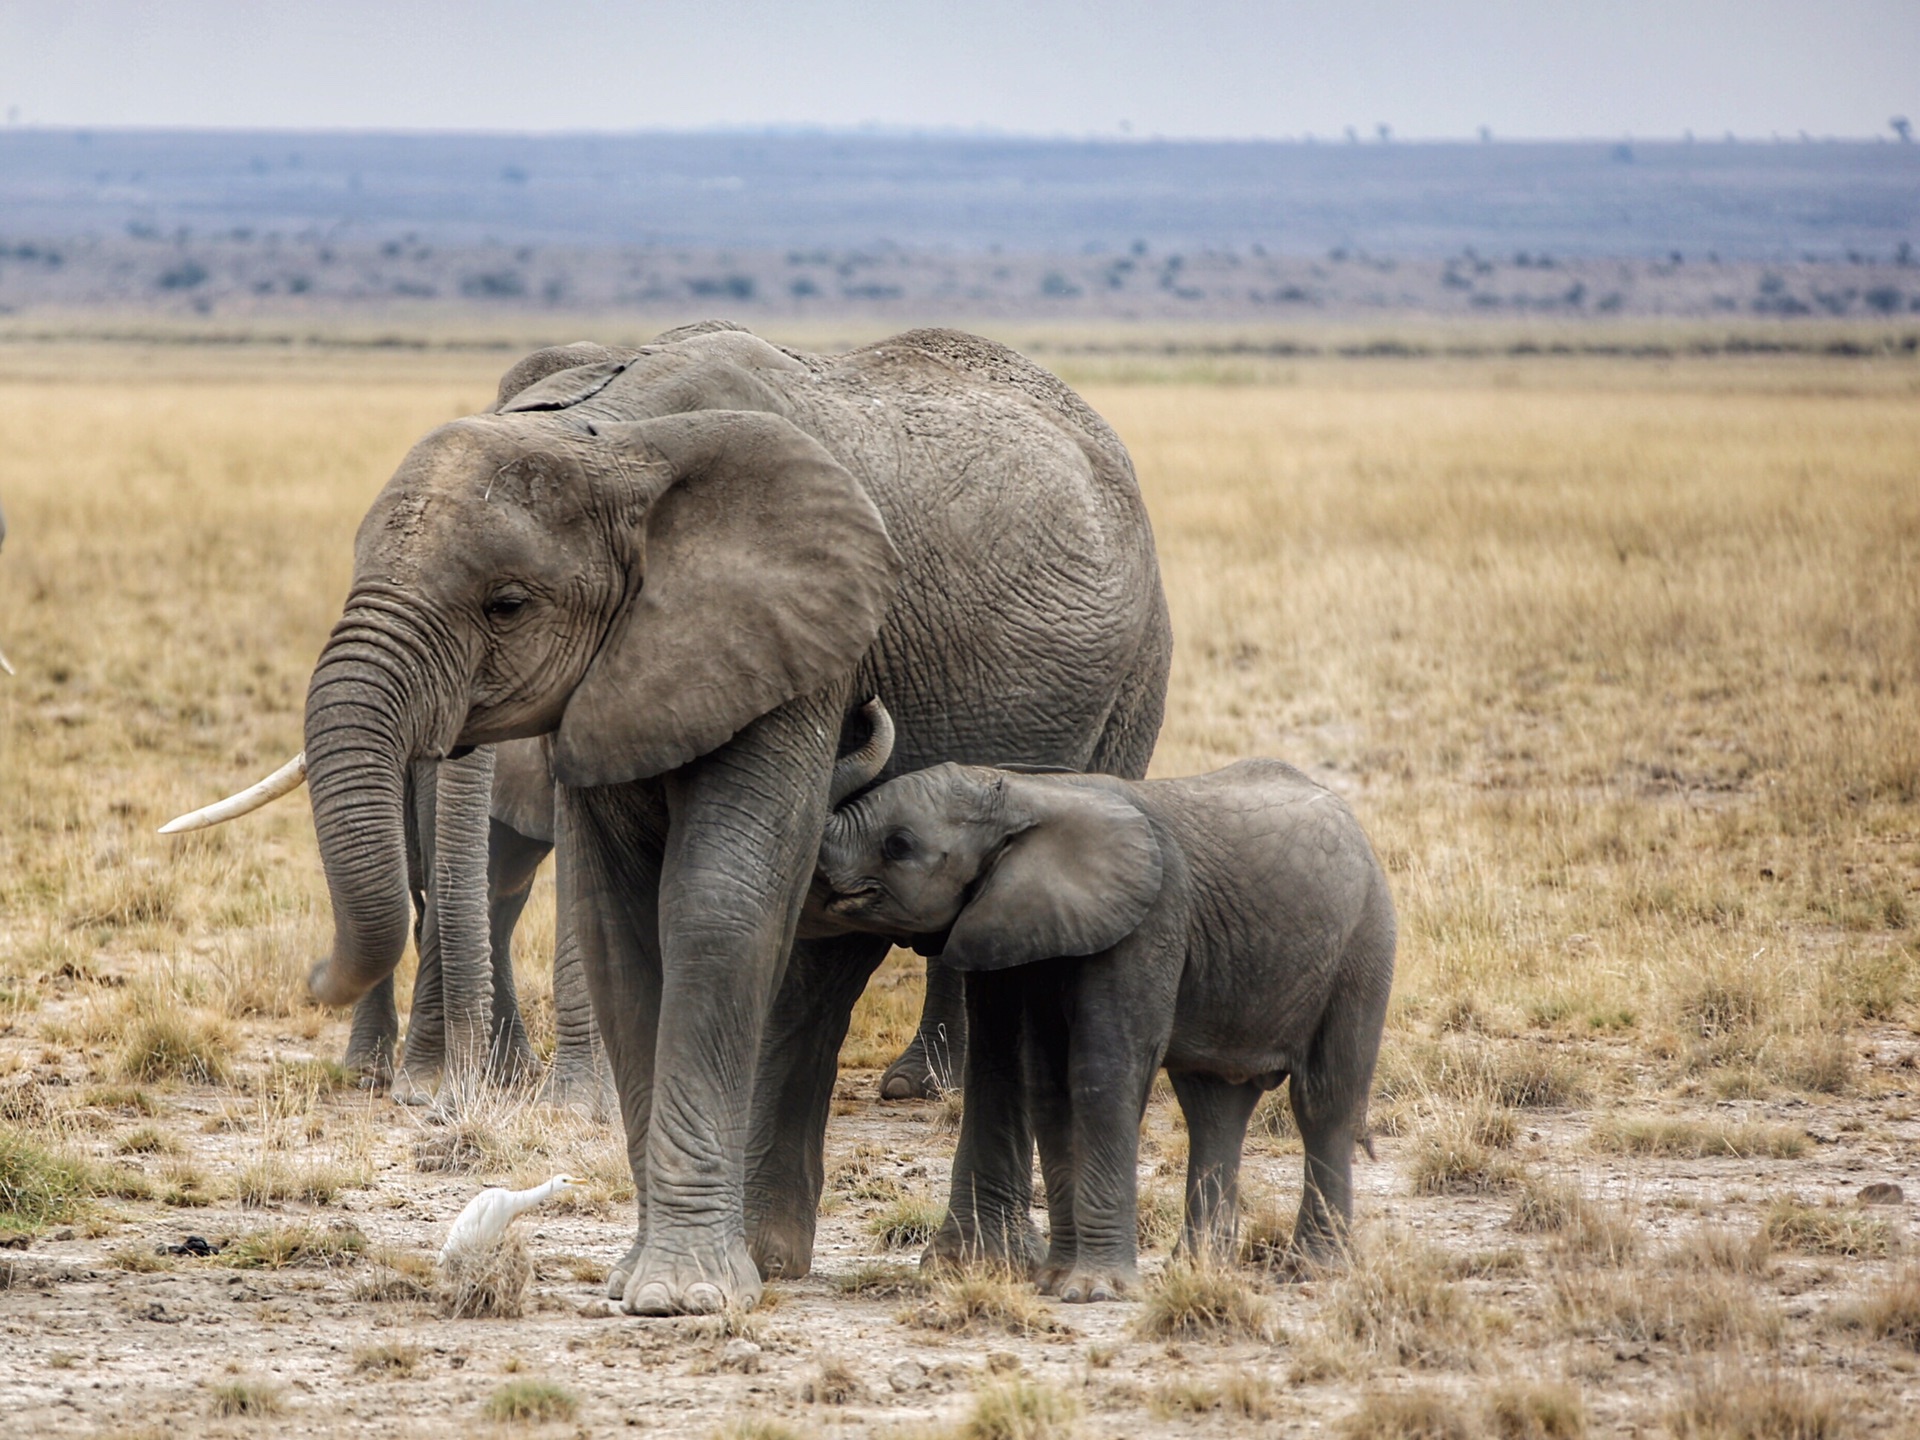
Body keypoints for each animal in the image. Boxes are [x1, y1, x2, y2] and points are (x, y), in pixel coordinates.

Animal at [295, 326, 1167, 1320]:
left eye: (507, 604)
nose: (316, 973)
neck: (610, 440)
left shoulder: (800, 638)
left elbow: (718, 900)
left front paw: (681, 1296)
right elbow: (616, 920)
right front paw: (651, 1282)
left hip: (1134, 684)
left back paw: (962, 1263)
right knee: (826, 965)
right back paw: (780, 1254)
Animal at [814, 748, 1397, 1305]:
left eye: (898, 845)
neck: (1025, 796)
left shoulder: (1149, 922)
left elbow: (1102, 1071)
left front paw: (1093, 1291)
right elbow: (1049, 1085)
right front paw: (1054, 1283)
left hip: (1364, 943)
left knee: (1323, 1100)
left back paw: (1313, 1269)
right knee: (1214, 1106)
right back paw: (1196, 1270)